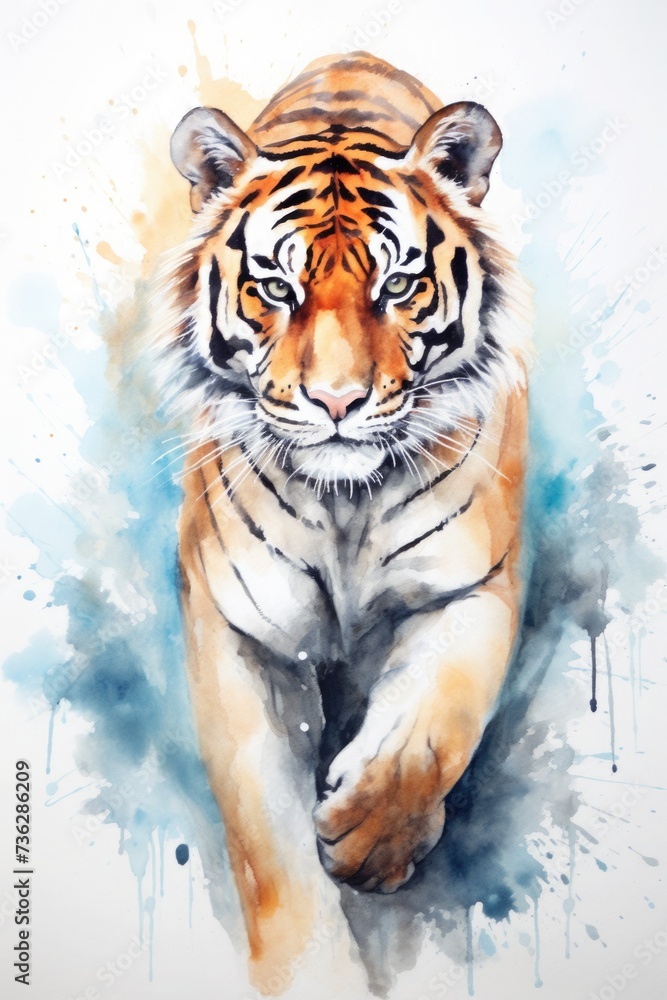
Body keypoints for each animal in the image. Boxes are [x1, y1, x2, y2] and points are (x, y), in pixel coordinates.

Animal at [156, 51, 531, 994]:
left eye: (396, 285)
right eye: (275, 288)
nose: (335, 403)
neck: (346, 502)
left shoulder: (471, 584)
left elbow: (433, 728)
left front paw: (370, 839)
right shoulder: (237, 627)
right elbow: (271, 845)